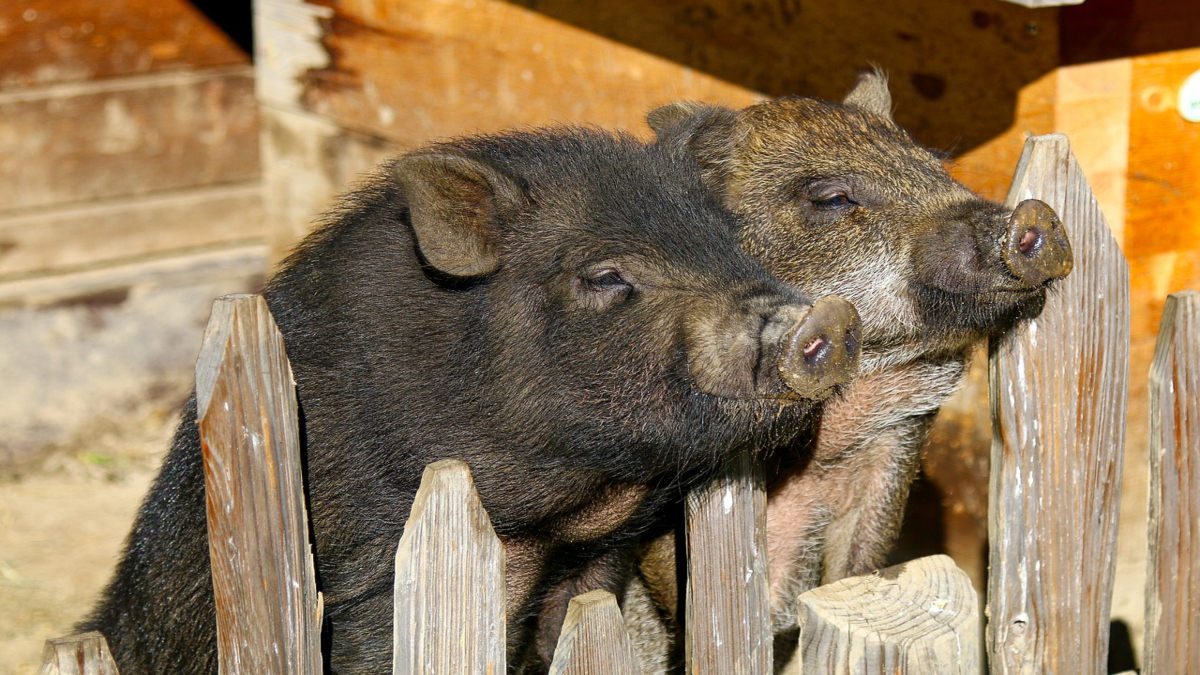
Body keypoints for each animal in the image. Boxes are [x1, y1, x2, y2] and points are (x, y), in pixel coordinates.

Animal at [77, 127, 864, 672]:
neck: (562, 509)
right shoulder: (369, 569)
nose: (828, 319)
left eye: (728, 243)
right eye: (605, 274)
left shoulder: (596, 559)